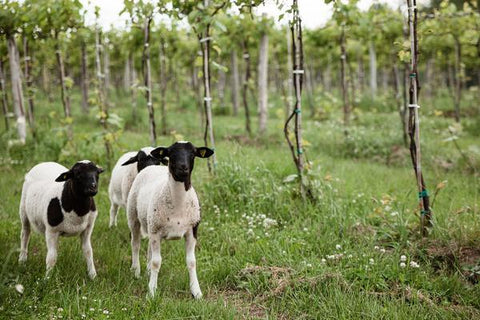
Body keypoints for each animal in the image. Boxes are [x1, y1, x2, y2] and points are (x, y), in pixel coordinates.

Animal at [126, 141, 213, 298]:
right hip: (133, 217)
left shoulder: (192, 231)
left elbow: (192, 262)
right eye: (171, 153)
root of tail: (150, 166)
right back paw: (136, 270)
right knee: (135, 244)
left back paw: (147, 271)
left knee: (149, 247)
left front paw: (196, 291)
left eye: (193, 153)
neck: (178, 205)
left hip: (151, 224)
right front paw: (152, 292)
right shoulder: (155, 231)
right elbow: (156, 262)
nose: (183, 167)